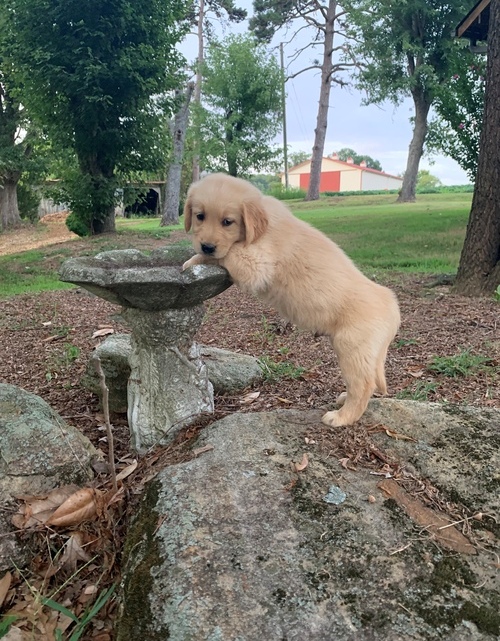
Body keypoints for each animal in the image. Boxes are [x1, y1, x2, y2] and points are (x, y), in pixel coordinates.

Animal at [182, 172, 400, 428]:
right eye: (200, 216)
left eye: (228, 222)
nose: (207, 246)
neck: (260, 230)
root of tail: (390, 303)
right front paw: (192, 261)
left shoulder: (255, 264)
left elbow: (228, 253)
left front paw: (195, 260)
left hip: (351, 348)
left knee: (363, 385)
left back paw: (342, 416)